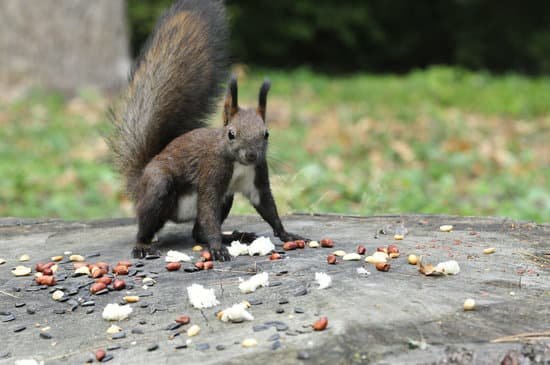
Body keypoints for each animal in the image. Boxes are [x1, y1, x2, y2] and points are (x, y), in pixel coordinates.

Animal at [105, 0, 308, 262]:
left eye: (266, 134)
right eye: (231, 133)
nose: (251, 155)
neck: (238, 163)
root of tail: (139, 182)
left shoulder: (257, 177)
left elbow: (267, 207)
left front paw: (285, 233)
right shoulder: (211, 172)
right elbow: (208, 207)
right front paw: (217, 249)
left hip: (227, 197)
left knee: (197, 231)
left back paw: (232, 236)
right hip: (158, 187)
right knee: (152, 223)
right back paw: (143, 245)